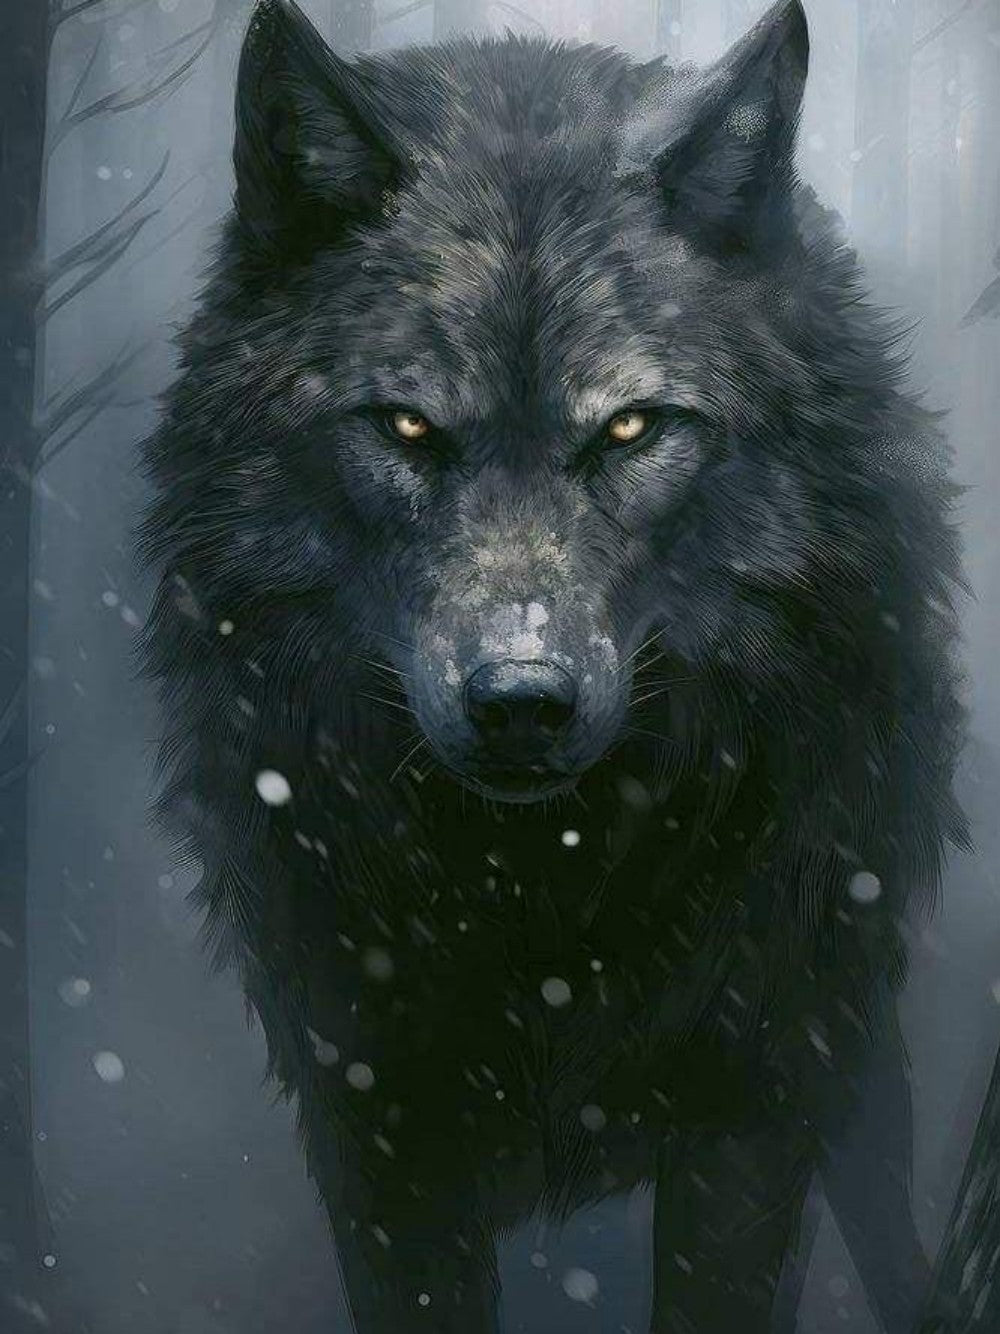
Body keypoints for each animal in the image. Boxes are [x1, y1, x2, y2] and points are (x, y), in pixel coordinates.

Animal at [140, 0, 967, 1328]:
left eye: (628, 427)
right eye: (408, 426)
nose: (521, 704)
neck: (539, 892)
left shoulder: (754, 1091)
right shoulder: (376, 1112)